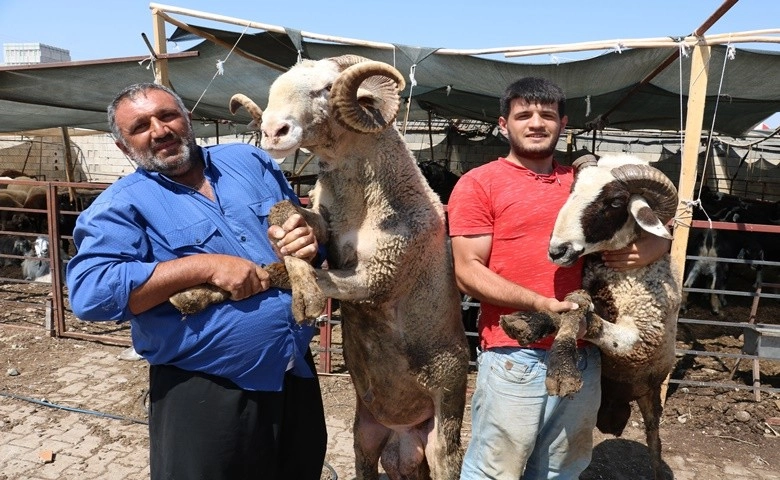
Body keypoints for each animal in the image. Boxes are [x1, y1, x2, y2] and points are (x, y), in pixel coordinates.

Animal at [169, 55, 470, 480]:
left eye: (327, 88)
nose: (272, 131)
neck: (363, 205)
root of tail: (405, 436)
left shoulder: (378, 276)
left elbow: (316, 277)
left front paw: (306, 301)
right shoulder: (324, 225)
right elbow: (278, 236)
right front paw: (193, 294)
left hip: (444, 421)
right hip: (366, 435)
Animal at [502, 154, 680, 480]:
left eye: (615, 202)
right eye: (571, 190)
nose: (557, 250)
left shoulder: (639, 343)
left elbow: (590, 322)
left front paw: (562, 373)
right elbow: (575, 304)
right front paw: (527, 323)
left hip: (650, 393)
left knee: (654, 442)